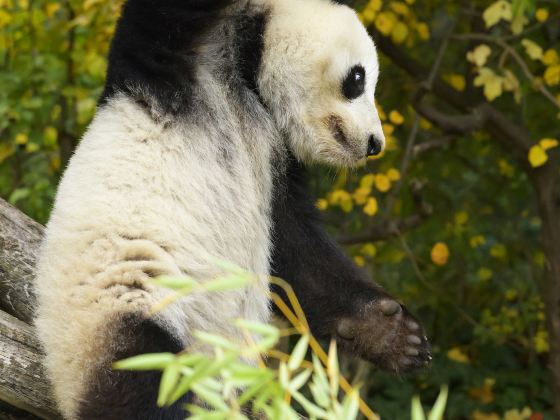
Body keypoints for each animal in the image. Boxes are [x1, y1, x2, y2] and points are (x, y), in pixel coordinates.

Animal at [34, 0, 428, 416]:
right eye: (357, 78)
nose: (374, 143)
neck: (245, 79)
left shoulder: (274, 169)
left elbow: (296, 250)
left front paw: (393, 334)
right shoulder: (166, 57)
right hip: (119, 306)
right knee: (144, 378)